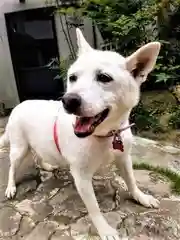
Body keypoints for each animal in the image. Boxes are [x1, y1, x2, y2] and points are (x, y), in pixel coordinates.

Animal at [0, 29, 160, 239]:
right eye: (73, 78)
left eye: (104, 77)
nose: (68, 100)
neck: (106, 135)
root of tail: (20, 104)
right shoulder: (81, 177)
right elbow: (94, 208)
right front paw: (104, 229)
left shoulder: (124, 158)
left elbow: (132, 182)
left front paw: (141, 197)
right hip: (19, 148)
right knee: (12, 167)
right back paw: (11, 187)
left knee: (38, 155)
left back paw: (47, 165)